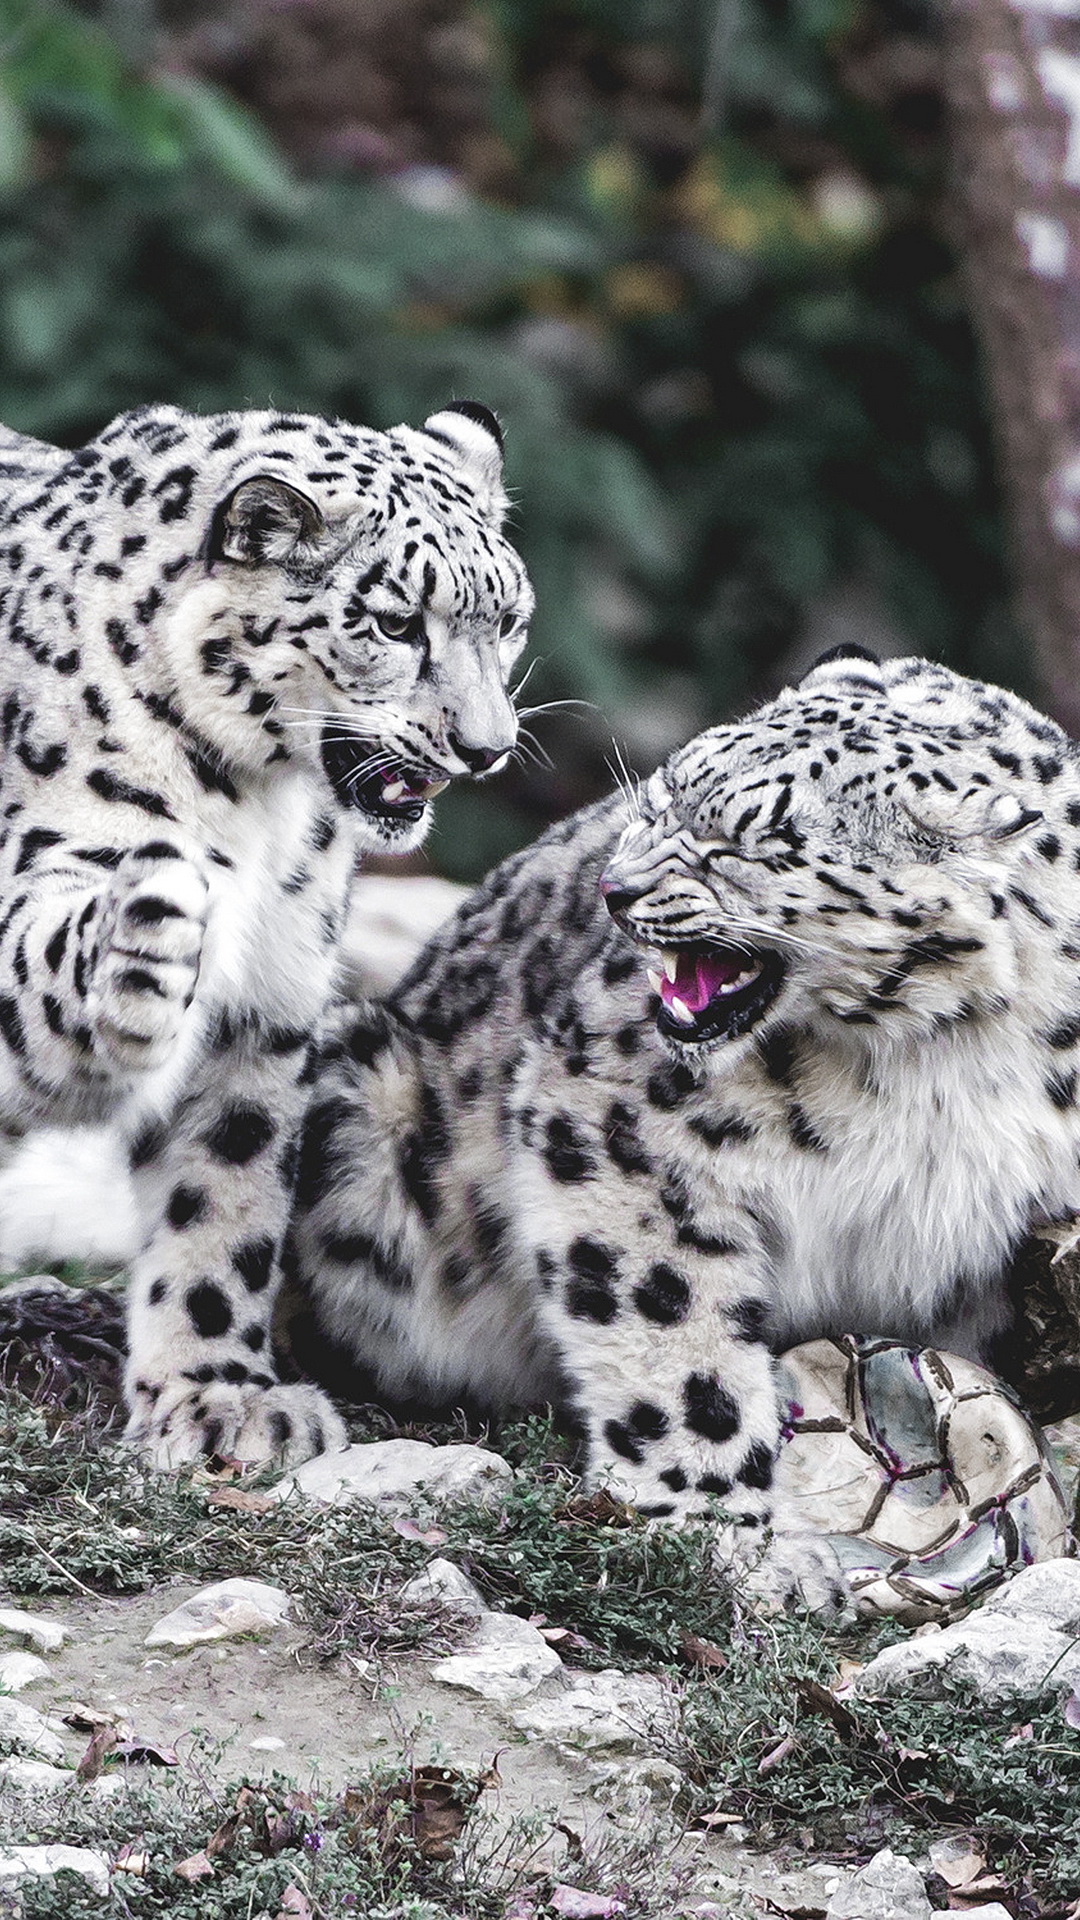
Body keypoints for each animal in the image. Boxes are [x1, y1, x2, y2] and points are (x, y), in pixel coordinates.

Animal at [0, 396, 532, 1469]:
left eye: (507, 618)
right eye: (395, 622)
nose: (487, 747)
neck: (252, 799)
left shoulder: (269, 1004)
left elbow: (226, 1194)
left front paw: (219, 1399)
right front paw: (151, 920)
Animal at [288, 647, 1080, 1600]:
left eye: (756, 844)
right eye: (661, 798)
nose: (615, 888)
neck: (942, 1058)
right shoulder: (619, 1131)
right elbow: (674, 1330)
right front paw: (725, 1526)